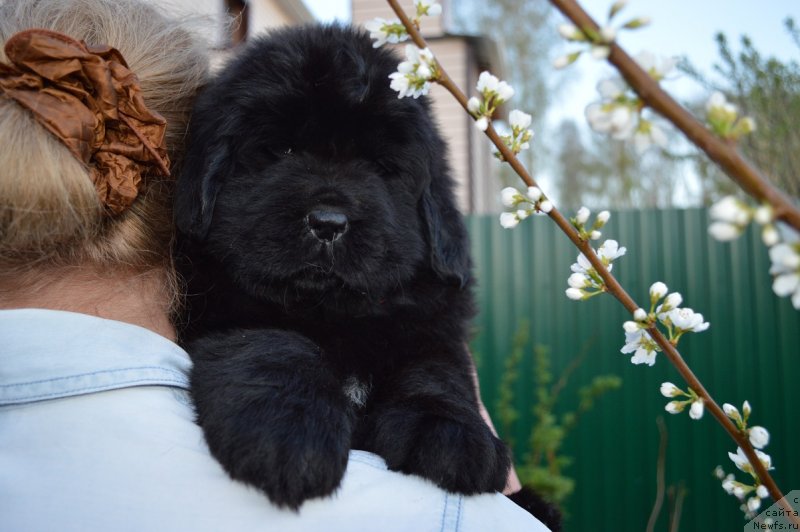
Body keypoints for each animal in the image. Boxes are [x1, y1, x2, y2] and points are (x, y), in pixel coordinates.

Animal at [175, 25, 524, 516]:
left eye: (380, 167)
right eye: (281, 149)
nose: (328, 222)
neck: (334, 313)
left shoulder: (430, 323)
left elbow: (436, 368)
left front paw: (453, 431)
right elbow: (273, 342)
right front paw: (291, 431)